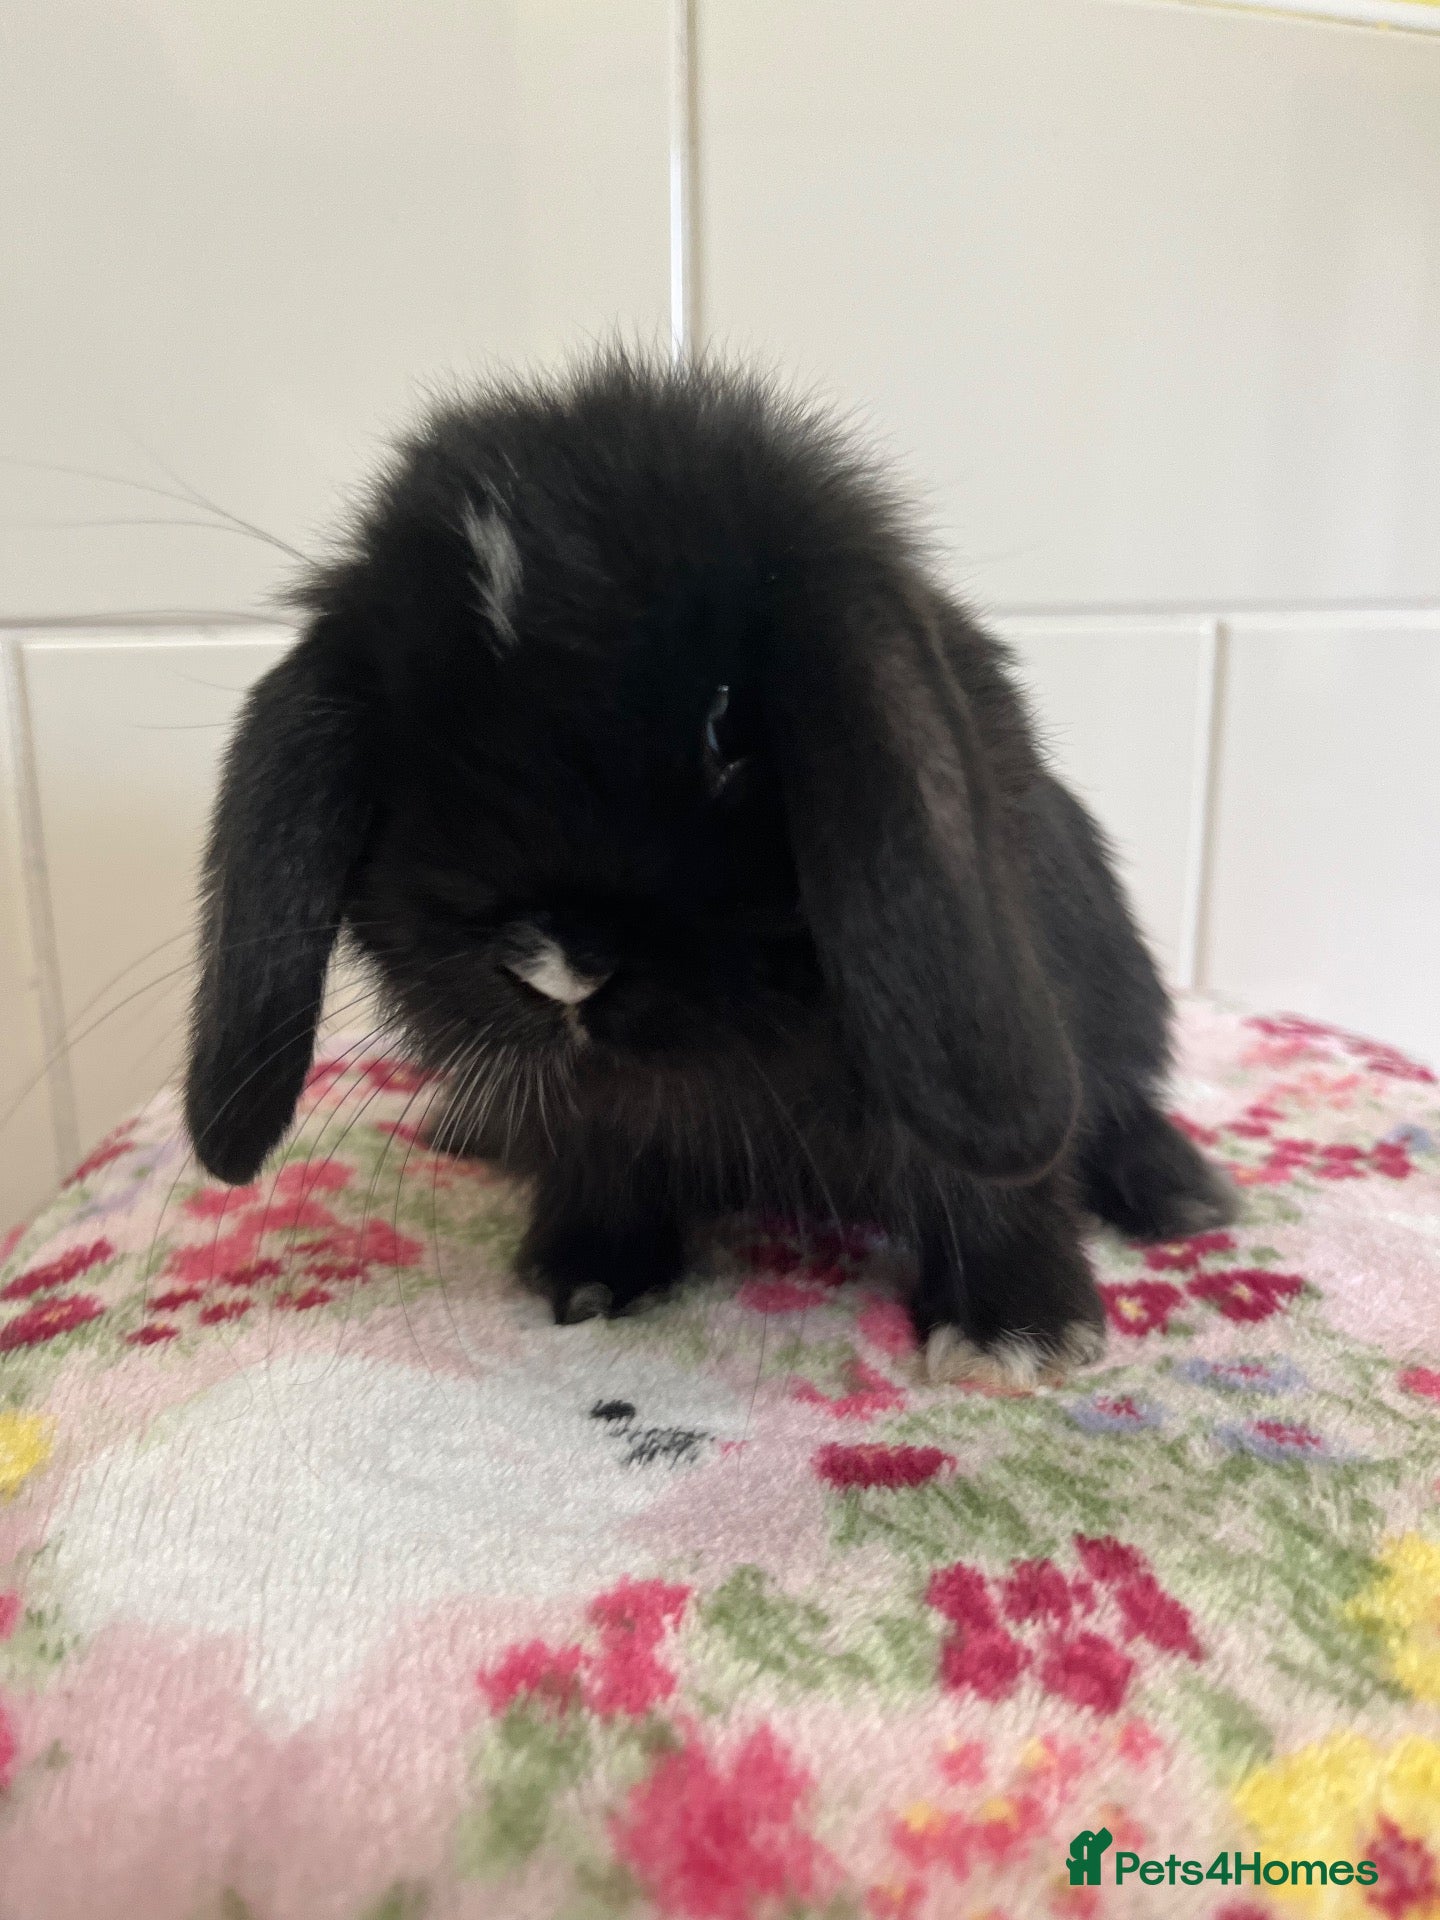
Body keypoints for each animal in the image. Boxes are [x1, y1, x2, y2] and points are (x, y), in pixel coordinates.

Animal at [184, 350, 1236, 1385]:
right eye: (400, 755)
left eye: (727, 724)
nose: (558, 968)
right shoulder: (585, 1112)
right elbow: (596, 1161)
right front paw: (587, 1275)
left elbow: (990, 1187)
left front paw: (1016, 1332)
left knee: (1124, 1105)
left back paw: (1186, 1198)